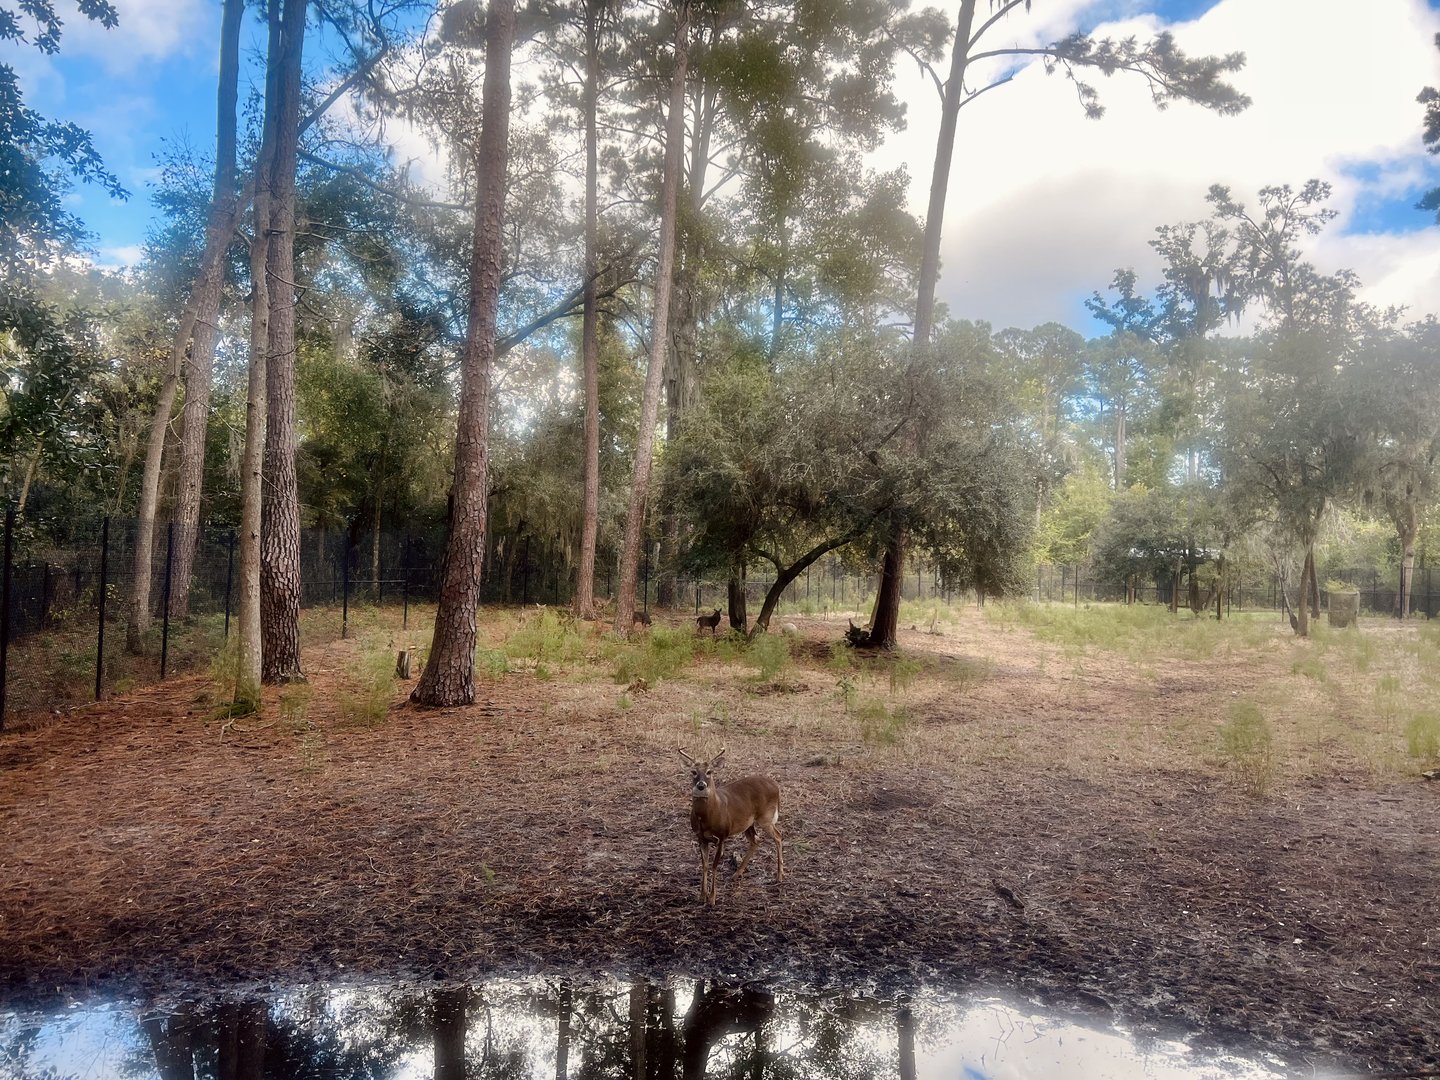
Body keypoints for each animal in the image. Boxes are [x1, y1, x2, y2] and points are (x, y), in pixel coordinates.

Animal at [677, 747, 784, 906]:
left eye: (709, 771)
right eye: (693, 772)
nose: (701, 785)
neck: (708, 816)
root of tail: (776, 786)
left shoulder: (722, 835)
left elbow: (714, 865)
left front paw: (712, 898)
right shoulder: (700, 837)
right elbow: (705, 864)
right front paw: (702, 896)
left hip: (766, 817)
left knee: (778, 836)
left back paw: (779, 876)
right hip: (748, 823)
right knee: (756, 840)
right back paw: (736, 874)